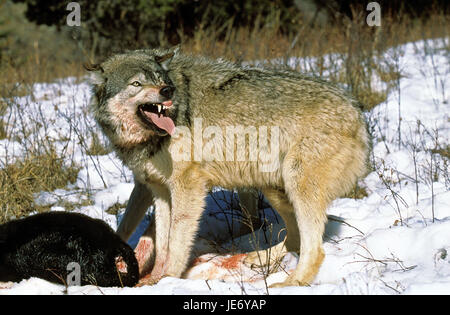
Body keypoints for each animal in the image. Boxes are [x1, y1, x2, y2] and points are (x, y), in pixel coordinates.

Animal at [88, 47, 370, 288]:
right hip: (274, 187)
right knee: (294, 238)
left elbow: (176, 240)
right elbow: (158, 239)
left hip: (297, 185)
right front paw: (153, 278)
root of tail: (357, 111)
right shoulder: (158, 189)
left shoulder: (187, 185)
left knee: (315, 249)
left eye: (159, 78)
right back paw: (261, 258)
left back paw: (291, 283)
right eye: (136, 84)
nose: (167, 90)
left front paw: (168, 279)